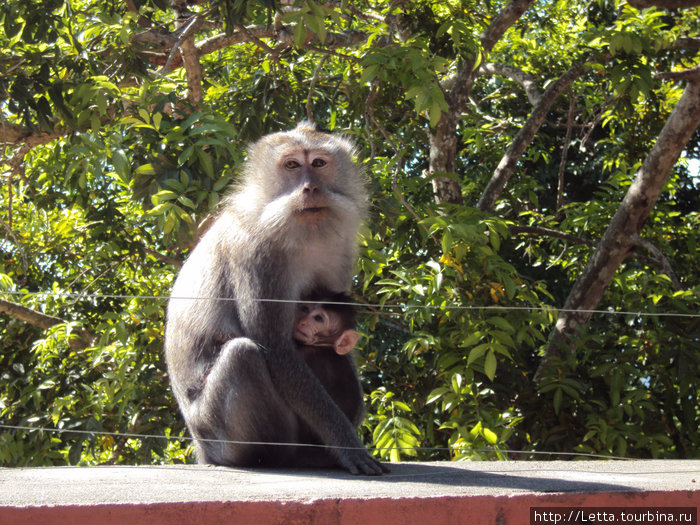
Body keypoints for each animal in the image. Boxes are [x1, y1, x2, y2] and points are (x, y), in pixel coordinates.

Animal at [164, 122, 386, 474]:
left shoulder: (340, 250)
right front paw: (347, 444)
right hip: (216, 433)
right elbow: (275, 347)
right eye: (292, 165)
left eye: (319, 163)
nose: (310, 188)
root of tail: (202, 450)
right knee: (243, 355)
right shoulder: (256, 254)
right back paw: (279, 456)